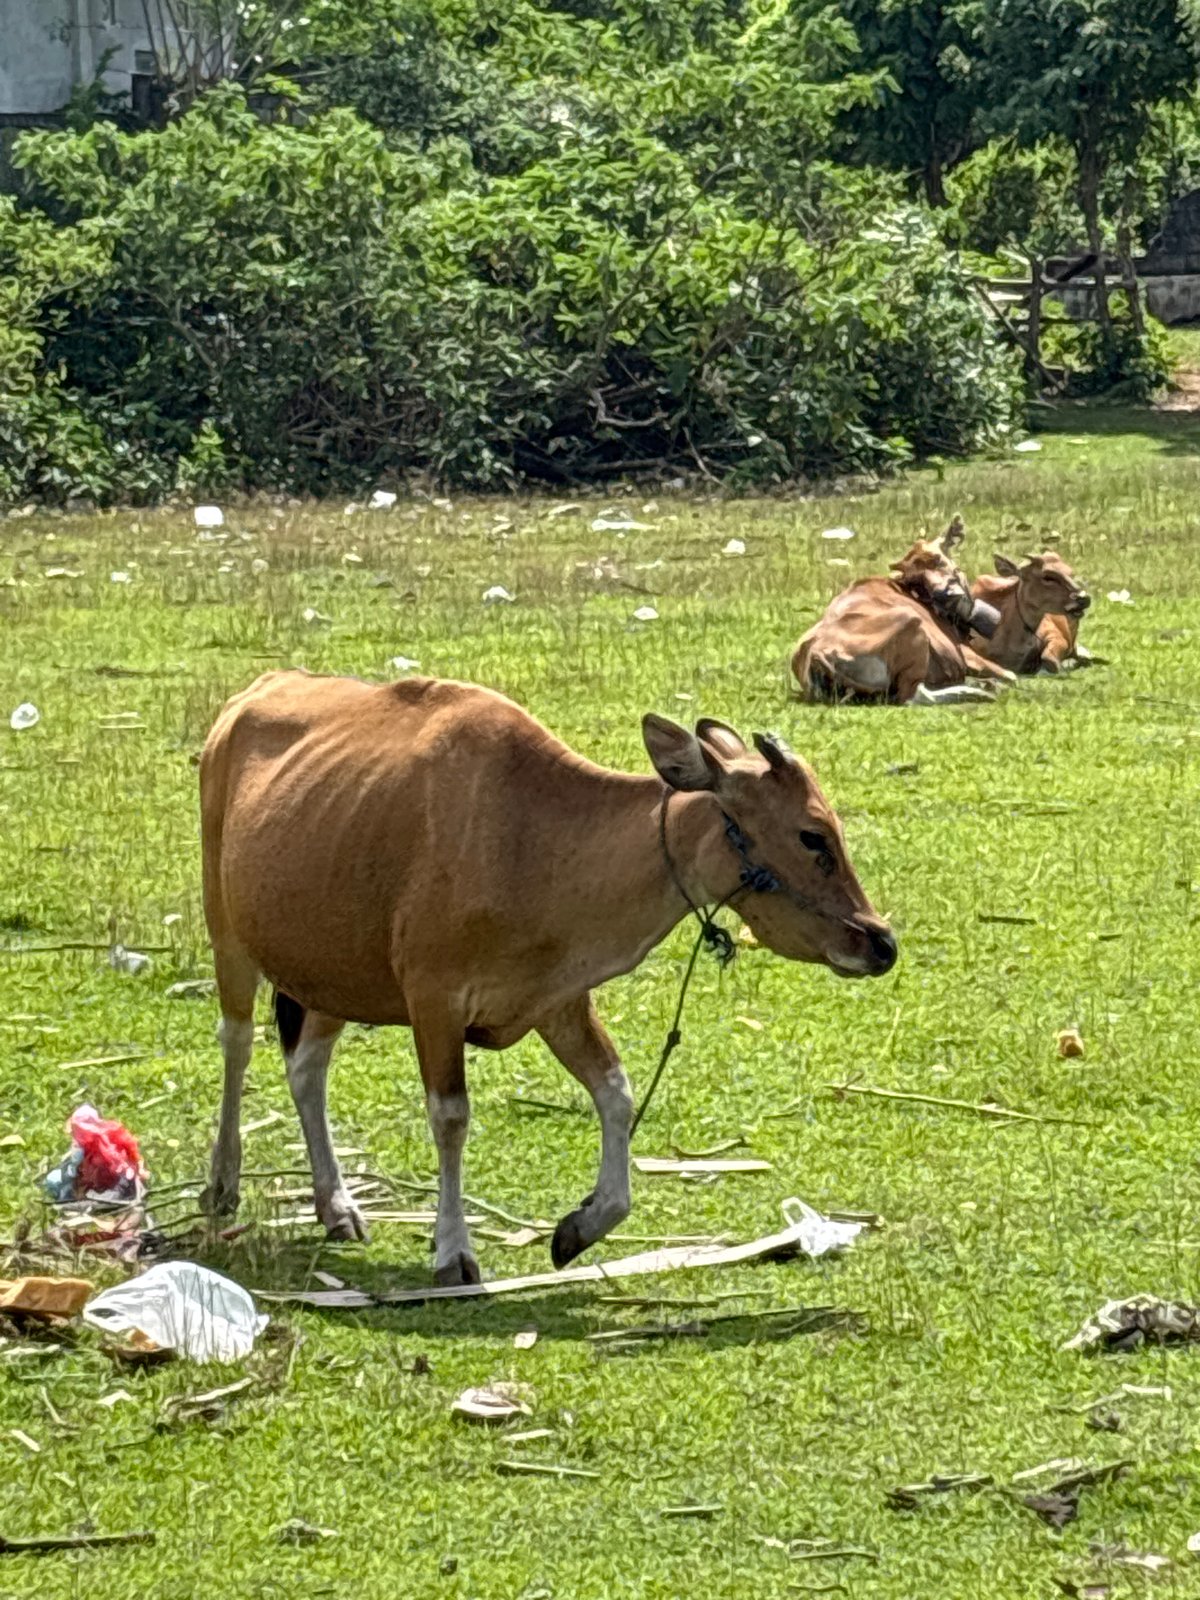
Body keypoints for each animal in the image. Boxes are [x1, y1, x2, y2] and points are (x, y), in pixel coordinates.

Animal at [199, 671, 897, 1285]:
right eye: (813, 835)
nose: (880, 942)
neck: (533, 840)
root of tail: (248, 698)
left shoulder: (558, 1000)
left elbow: (616, 1092)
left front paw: (582, 1226)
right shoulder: (433, 999)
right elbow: (450, 1117)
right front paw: (453, 1250)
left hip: (332, 968)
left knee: (306, 1066)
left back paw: (336, 1204)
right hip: (228, 930)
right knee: (237, 1042)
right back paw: (222, 1182)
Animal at [791, 519, 1014, 706]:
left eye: (938, 558)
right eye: (916, 578)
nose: (944, 593)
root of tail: (816, 652)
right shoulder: (966, 654)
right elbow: (1011, 675)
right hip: (910, 622)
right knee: (913, 696)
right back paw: (980, 691)